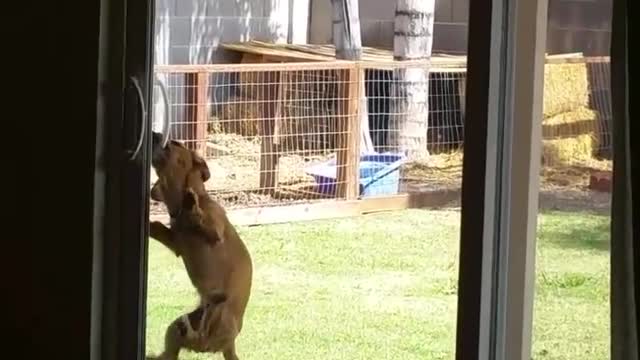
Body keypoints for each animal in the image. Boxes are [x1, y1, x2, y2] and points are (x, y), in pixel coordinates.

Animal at [148, 132, 252, 360]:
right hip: (177, 328)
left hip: (222, 313)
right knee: (173, 347)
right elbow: (161, 228)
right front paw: (151, 224)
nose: (153, 134)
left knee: (206, 324)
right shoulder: (177, 243)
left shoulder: (215, 232)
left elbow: (200, 218)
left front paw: (191, 205)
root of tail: (227, 346)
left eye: (174, 143)